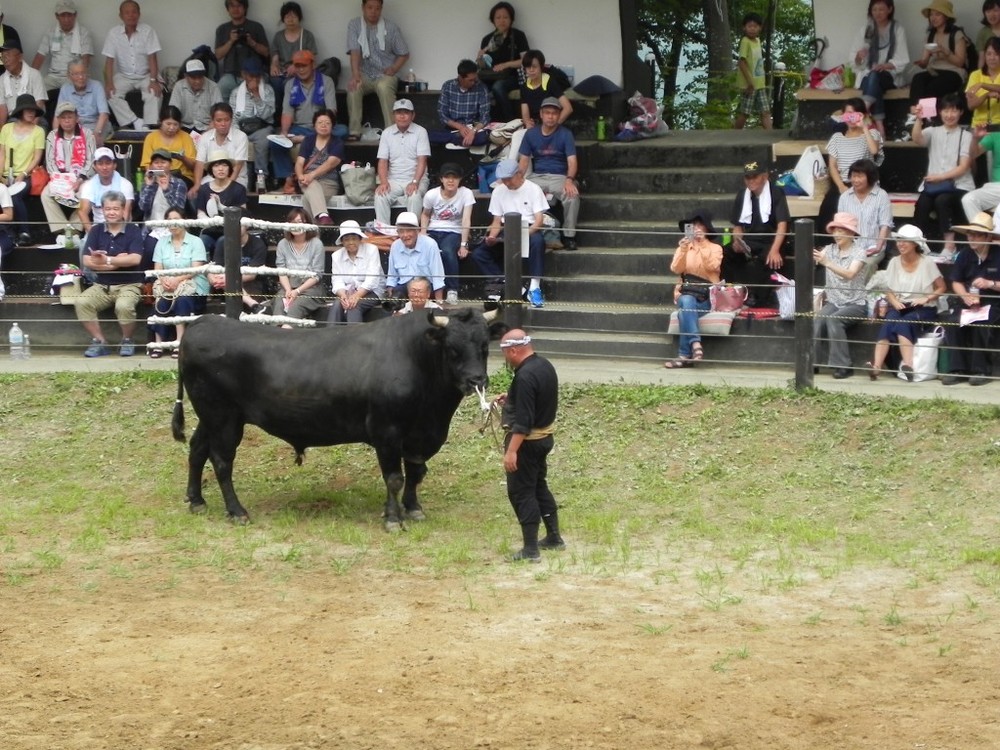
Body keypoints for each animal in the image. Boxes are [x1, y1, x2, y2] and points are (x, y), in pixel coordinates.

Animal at [172, 308, 504, 532]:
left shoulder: (417, 436)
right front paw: (393, 518)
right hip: (223, 418)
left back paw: (196, 501)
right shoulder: (387, 431)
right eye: (453, 349)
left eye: (484, 346)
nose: (477, 380)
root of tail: (204, 322)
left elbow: (416, 473)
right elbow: (394, 478)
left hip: (210, 417)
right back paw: (237, 511)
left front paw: (413, 508)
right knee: (221, 461)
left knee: (197, 450)